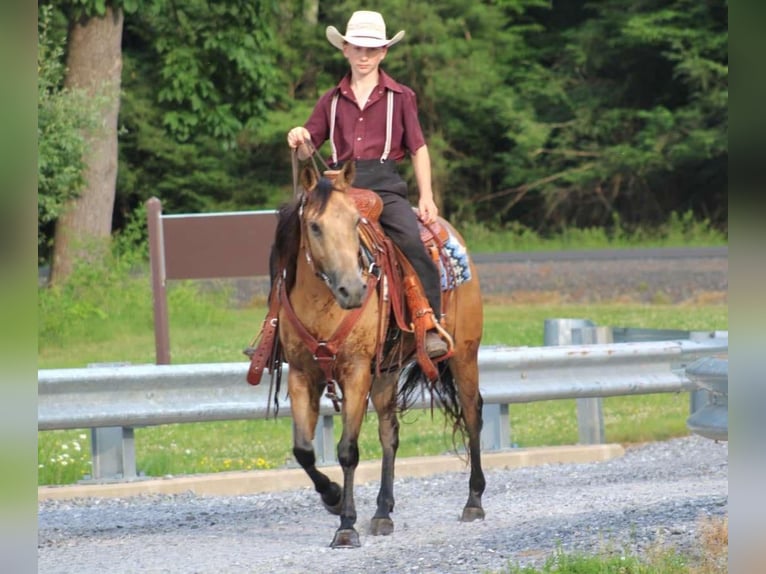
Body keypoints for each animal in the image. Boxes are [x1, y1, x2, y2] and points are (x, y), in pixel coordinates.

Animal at [246, 158, 486, 548]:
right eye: (314, 226)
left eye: (355, 222)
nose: (354, 290)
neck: (323, 302)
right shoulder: (302, 374)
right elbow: (303, 449)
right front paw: (331, 497)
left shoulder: (356, 372)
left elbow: (348, 450)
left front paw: (346, 525)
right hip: (386, 372)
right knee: (390, 432)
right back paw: (383, 512)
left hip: (464, 355)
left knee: (472, 416)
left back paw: (474, 501)